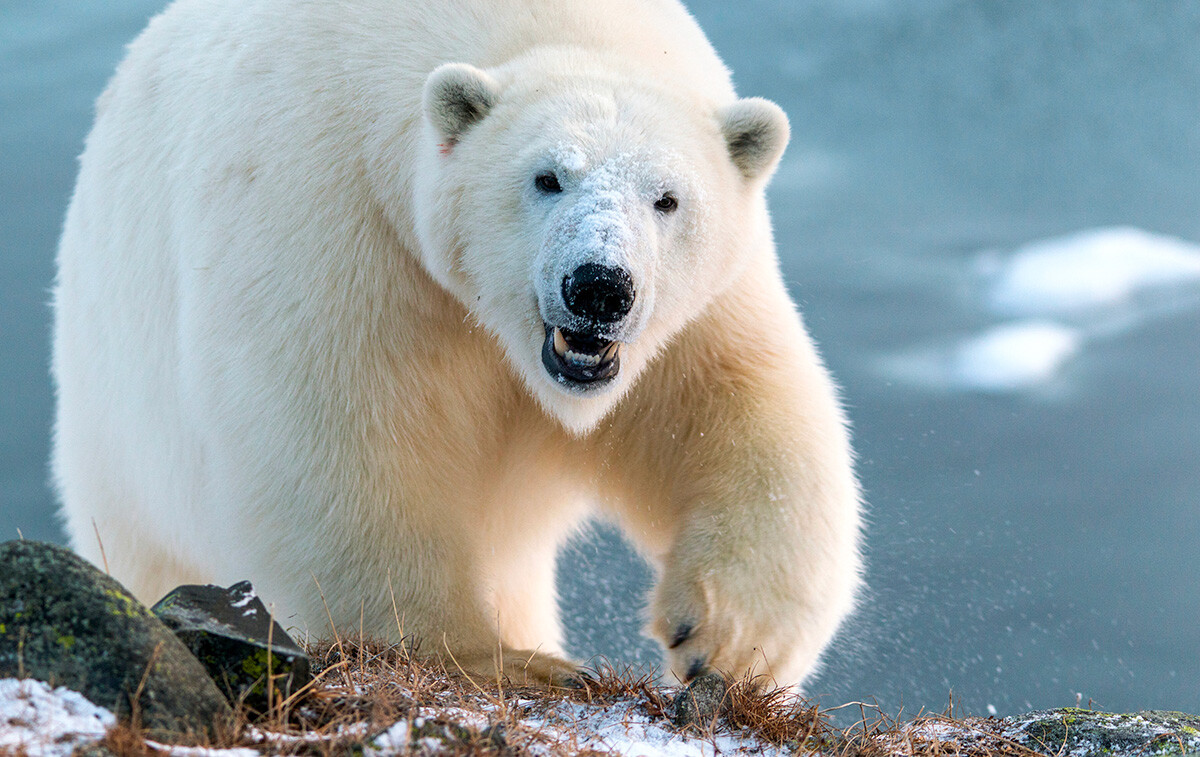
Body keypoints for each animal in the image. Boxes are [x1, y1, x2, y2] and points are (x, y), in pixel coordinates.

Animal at [54, 0, 864, 691]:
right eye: (546, 177)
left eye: (667, 198)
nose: (599, 286)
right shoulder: (336, 218)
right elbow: (340, 437)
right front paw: (496, 661)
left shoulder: (696, 310)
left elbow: (739, 408)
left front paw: (723, 642)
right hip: (121, 443)